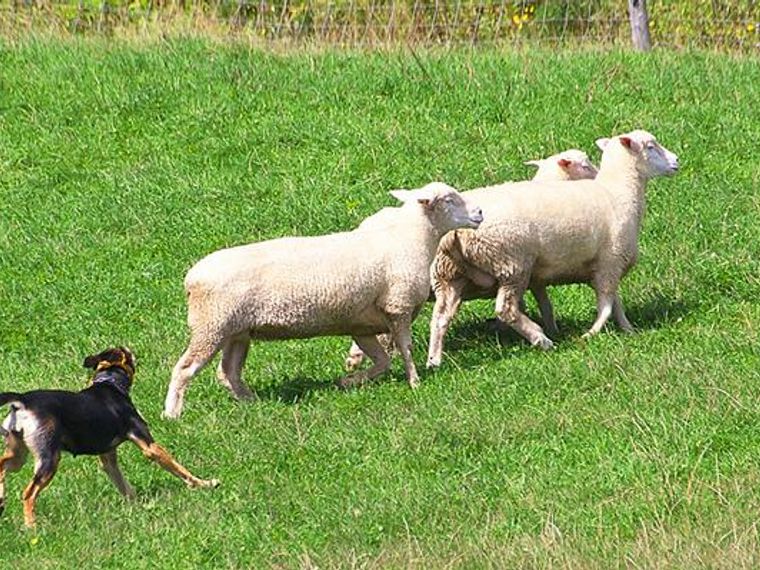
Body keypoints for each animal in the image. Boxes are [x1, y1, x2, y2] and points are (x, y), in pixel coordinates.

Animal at [0, 344, 220, 524]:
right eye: (127, 352)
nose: (133, 350)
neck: (110, 382)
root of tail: (23, 401)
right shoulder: (149, 445)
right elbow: (179, 468)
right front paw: (205, 483)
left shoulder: (108, 457)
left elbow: (123, 485)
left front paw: (136, 506)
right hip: (49, 457)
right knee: (28, 493)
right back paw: (32, 527)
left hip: (18, 453)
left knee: (3, 466)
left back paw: (2, 498)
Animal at [162, 182, 480, 418]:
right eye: (449, 199)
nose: (479, 213)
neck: (411, 239)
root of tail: (191, 279)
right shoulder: (397, 306)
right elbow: (405, 348)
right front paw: (415, 381)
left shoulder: (362, 324)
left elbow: (382, 362)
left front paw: (349, 381)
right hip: (211, 326)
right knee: (185, 369)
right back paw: (172, 413)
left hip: (236, 332)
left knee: (228, 372)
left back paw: (253, 401)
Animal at [344, 145, 600, 372]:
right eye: (585, 165)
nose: (598, 176)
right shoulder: (522, 265)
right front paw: (544, 330)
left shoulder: (534, 271)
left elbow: (543, 301)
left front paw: (549, 326)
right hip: (509, 265)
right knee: (503, 308)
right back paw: (540, 339)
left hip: (448, 277)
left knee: (438, 318)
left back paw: (428, 360)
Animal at [424, 130, 680, 366]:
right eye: (651, 146)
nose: (676, 161)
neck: (618, 192)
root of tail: (454, 232)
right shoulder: (611, 260)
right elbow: (606, 304)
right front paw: (590, 334)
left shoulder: (600, 266)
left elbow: (611, 302)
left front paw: (628, 329)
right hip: (512, 264)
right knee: (505, 309)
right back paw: (541, 339)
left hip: (450, 276)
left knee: (440, 318)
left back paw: (434, 360)